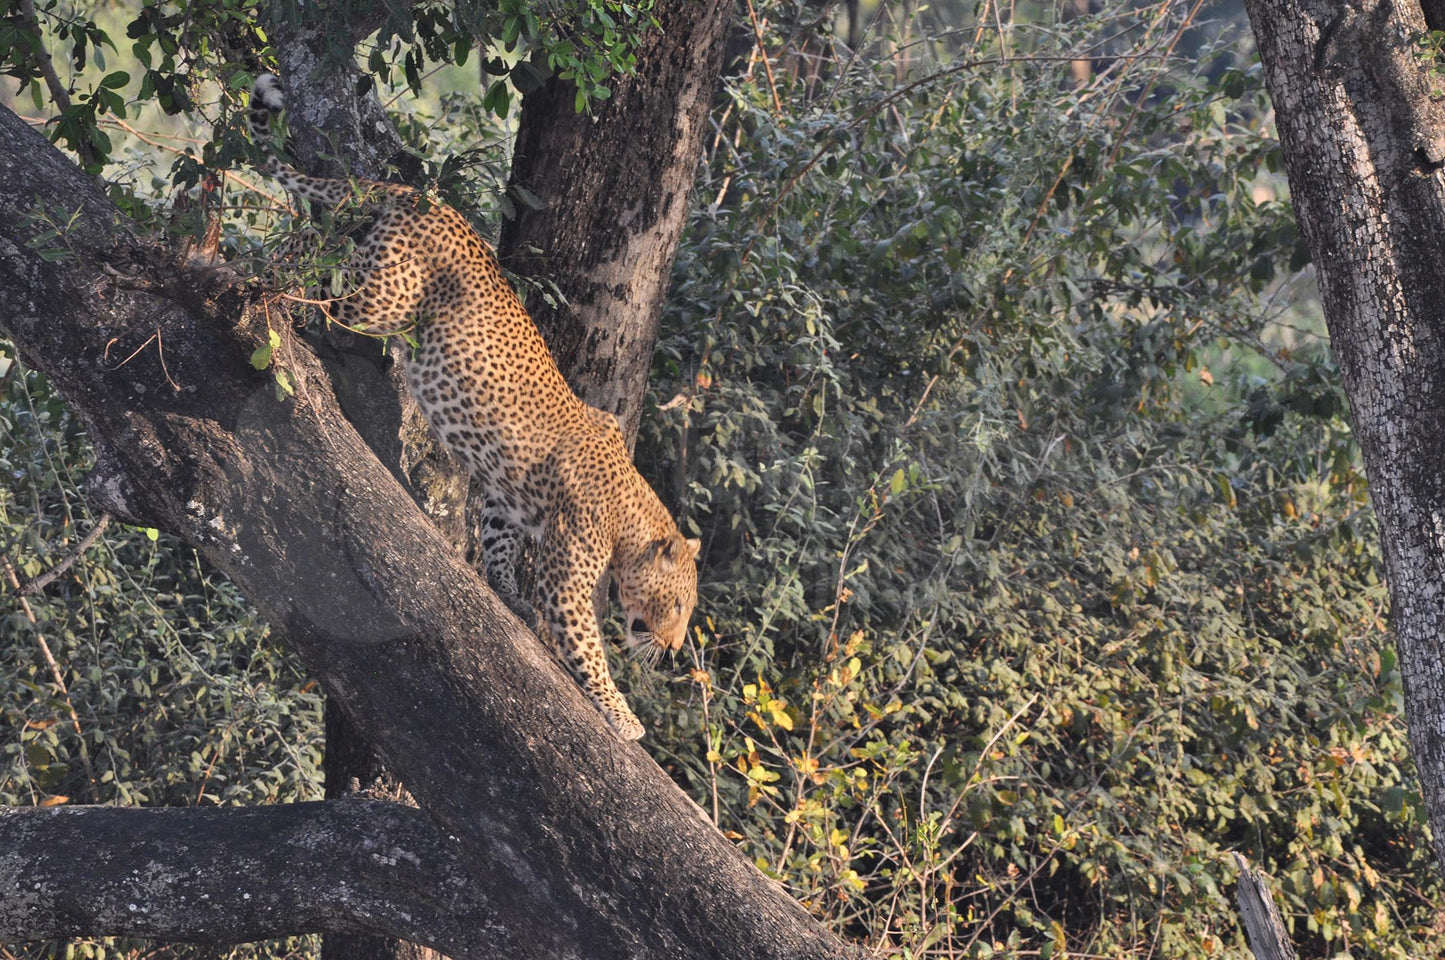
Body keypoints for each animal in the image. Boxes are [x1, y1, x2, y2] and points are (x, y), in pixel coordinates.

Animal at [245, 73, 696, 740]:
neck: (628, 518)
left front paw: (507, 593)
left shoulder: (512, 505)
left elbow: (500, 545)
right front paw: (623, 716)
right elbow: (587, 649)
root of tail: (418, 196)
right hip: (379, 297)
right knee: (311, 270)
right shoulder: (569, 578)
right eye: (679, 604)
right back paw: (266, 282)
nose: (672, 648)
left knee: (319, 245)